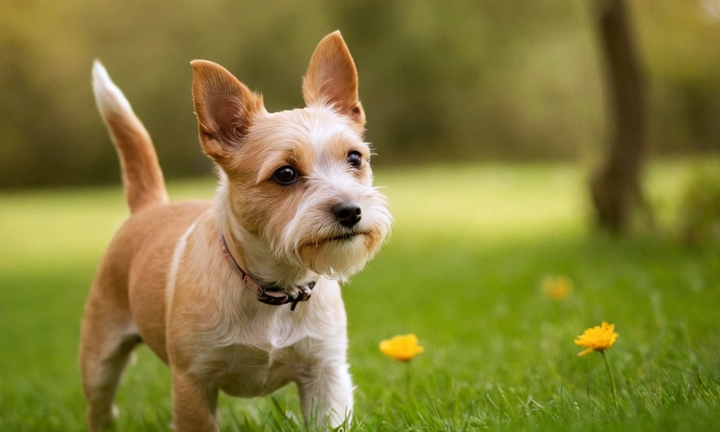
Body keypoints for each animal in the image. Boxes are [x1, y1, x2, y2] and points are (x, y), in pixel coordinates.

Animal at [79, 31, 390, 432]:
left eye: (355, 158)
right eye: (285, 174)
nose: (351, 210)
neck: (274, 287)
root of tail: (151, 205)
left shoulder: (326, 376)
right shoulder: (193, 383)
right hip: (100, 359)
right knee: (100, 407)